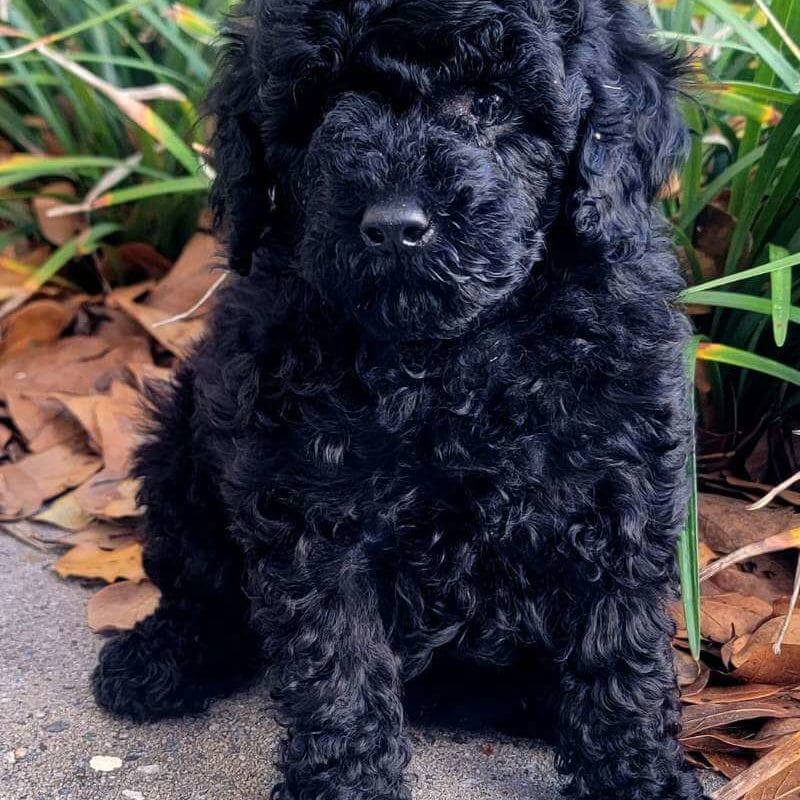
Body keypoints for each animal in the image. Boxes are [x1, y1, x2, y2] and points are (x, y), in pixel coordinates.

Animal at [95, 1, 708, 800]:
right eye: (326, 104)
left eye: (491, 101)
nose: (393, 225)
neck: (445, 359)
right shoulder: (309, 503)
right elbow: (337, 665)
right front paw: (346, 784)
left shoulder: (619, 479)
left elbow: (618, 649)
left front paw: (638, 777)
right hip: (181, 441)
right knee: (199, 584)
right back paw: (160, 660)